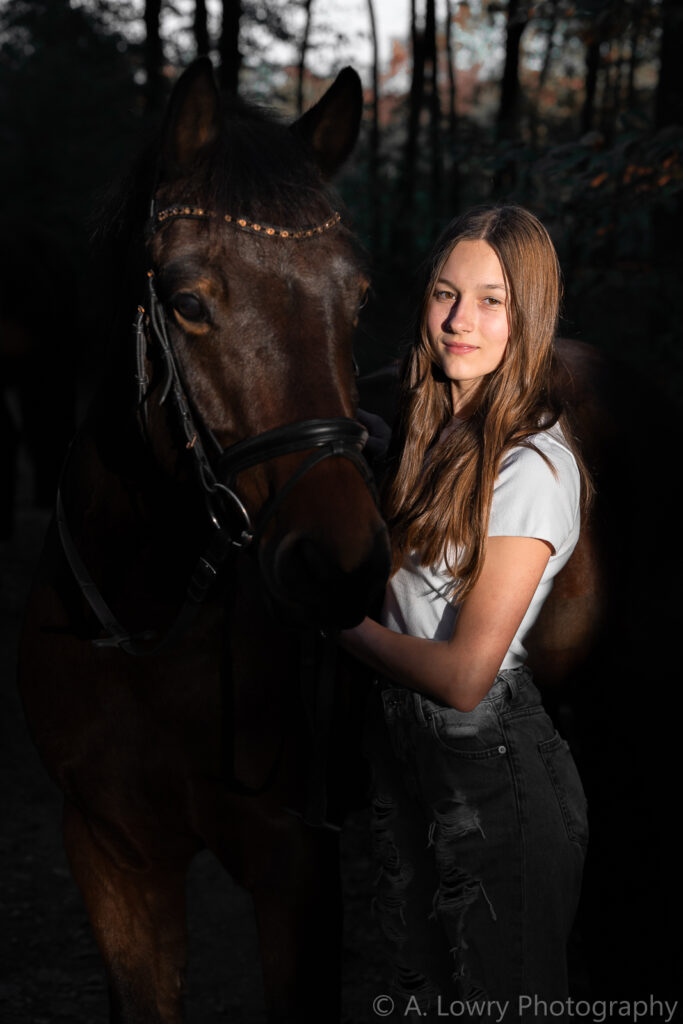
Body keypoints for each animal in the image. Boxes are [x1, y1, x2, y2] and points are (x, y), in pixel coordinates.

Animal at [19, 59, 391, 1024]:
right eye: (187, 303)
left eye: (358, 297)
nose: (339, 568)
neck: (152, 622)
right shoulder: (113, 855)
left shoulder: (297, 869)